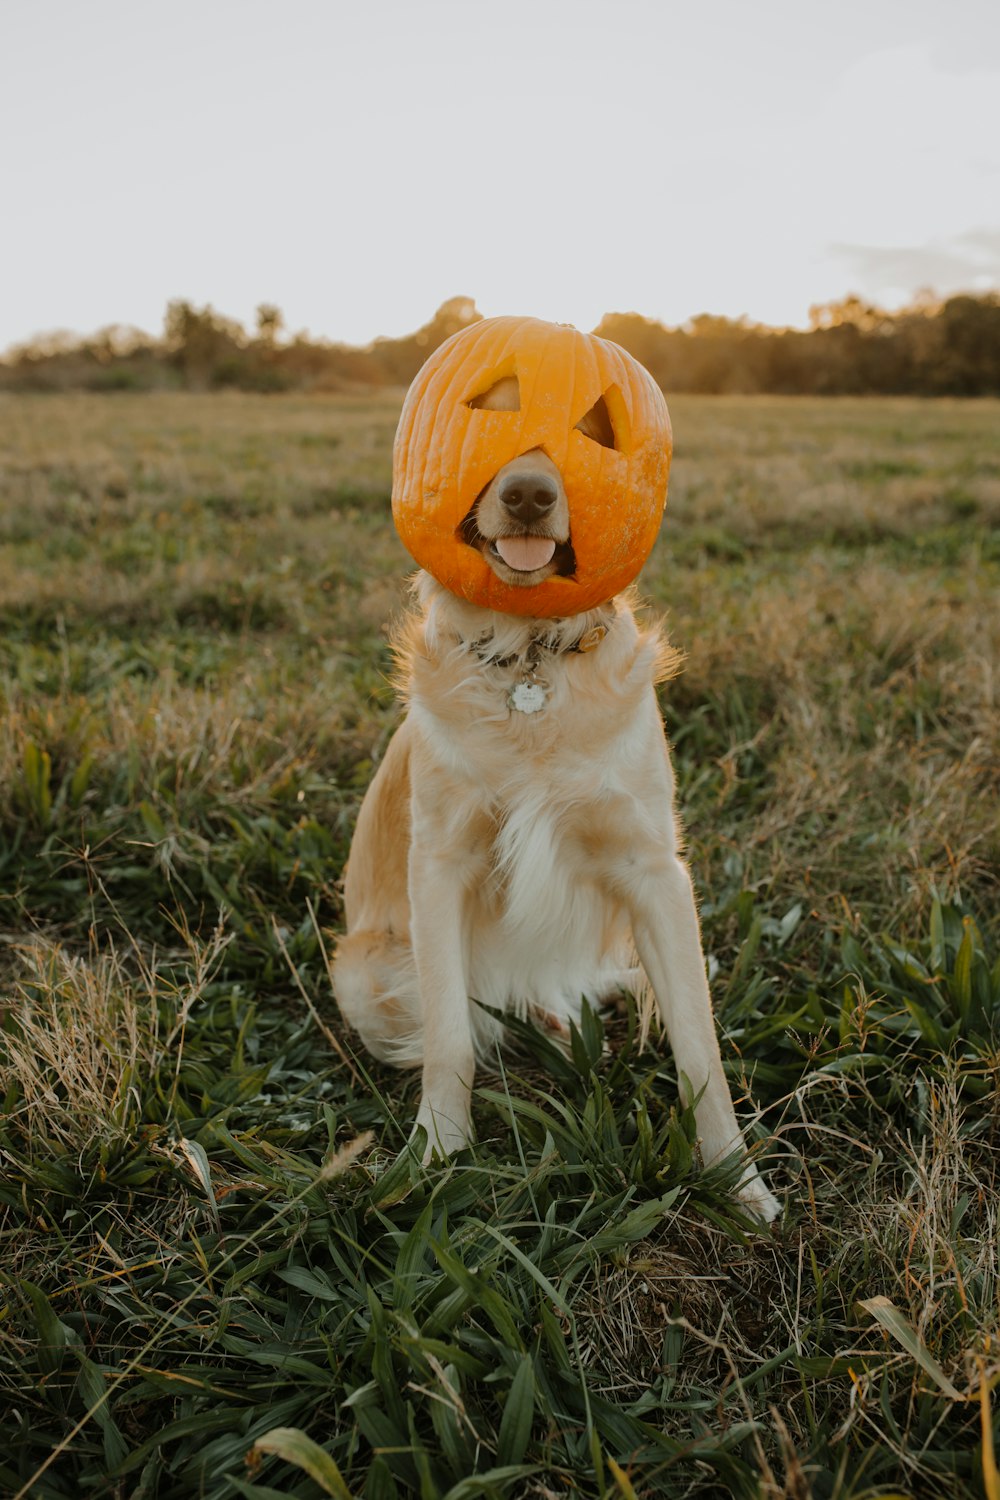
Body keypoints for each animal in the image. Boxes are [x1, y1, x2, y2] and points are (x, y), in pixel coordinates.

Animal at [332, 372, 779, 1218]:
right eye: (489, 405)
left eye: (595, 425)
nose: (532, 495)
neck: (530, 657)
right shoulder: (439, 862)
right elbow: (449, 1040)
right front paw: (435, 1155)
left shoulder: (654, 871)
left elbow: (700, 1049)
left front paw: (737, 1183)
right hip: (364, 978)